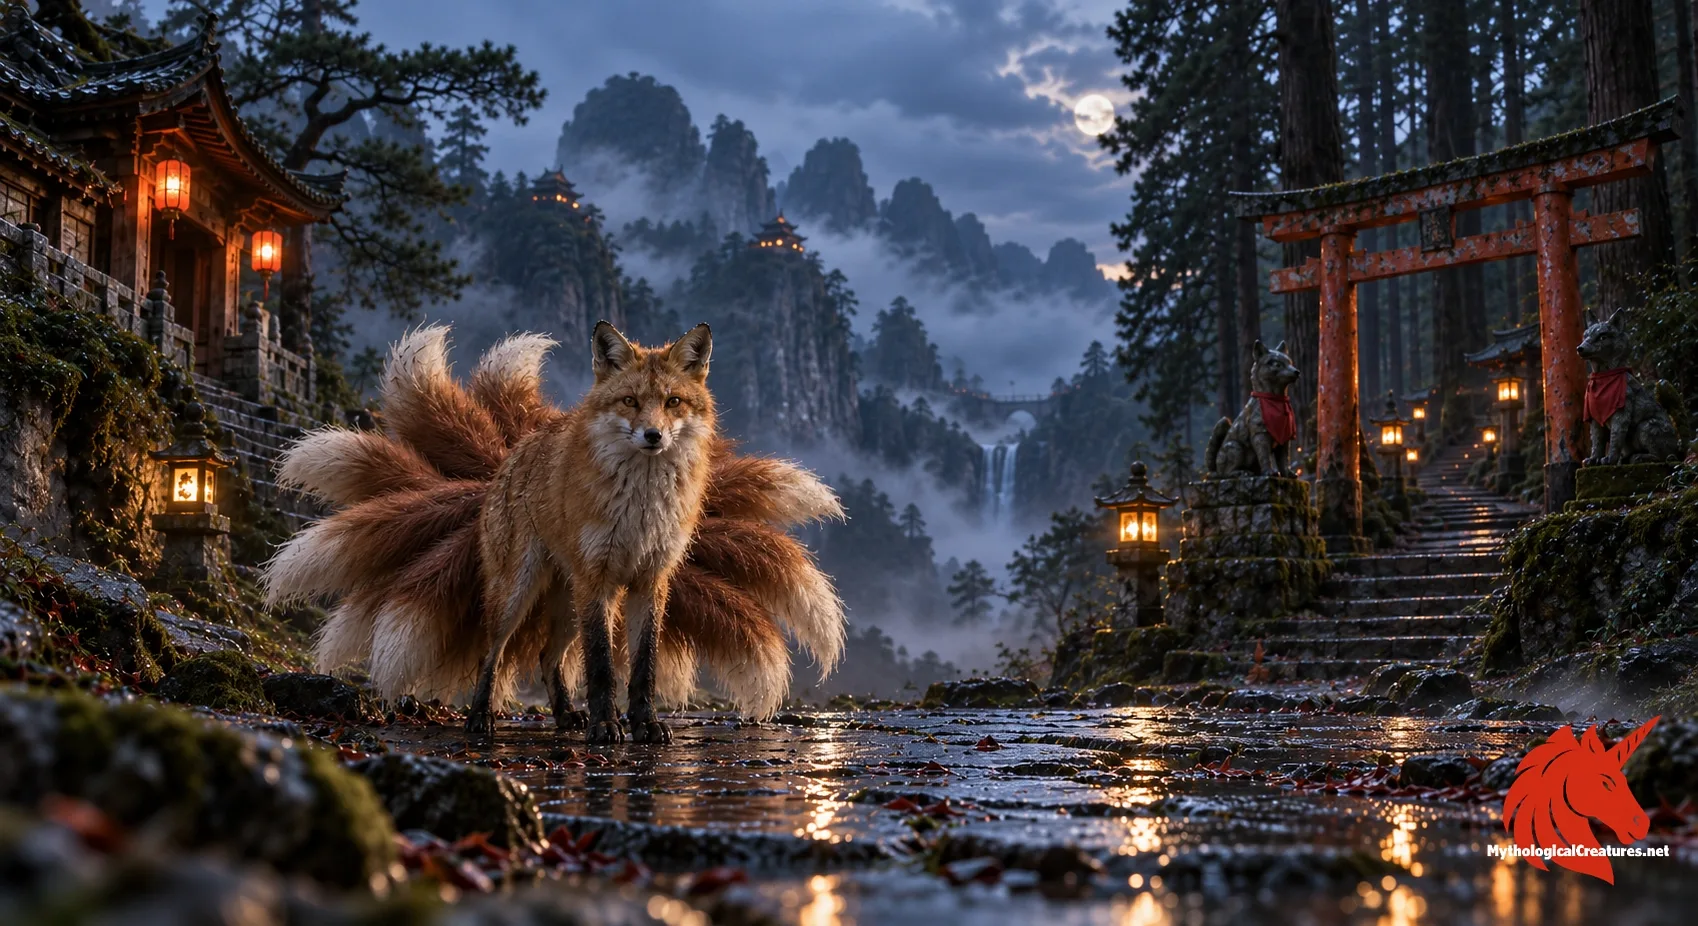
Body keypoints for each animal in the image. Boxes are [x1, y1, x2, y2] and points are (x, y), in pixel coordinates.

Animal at [262, 323, 846, 743]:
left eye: (673, 402)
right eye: (630, 401)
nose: (653, 435)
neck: (640, 506)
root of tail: (513, 452)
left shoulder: (650, 582)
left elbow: (641, 668)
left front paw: (643, 726)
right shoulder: (600, 580)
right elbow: (603, 668)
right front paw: (606, 728)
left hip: (568, 601)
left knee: (547, 656)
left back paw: (565, 717)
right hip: (523, 592)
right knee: (494, 652)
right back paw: (482, 720)